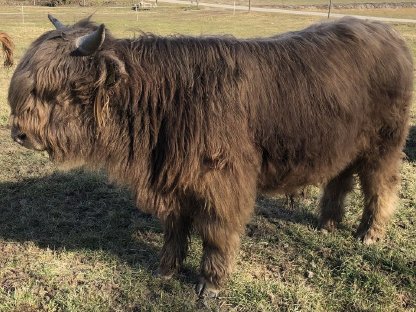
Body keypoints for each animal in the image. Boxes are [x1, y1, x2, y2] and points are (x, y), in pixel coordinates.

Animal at [6, 15, 412, 298]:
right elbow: (175, 228)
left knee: (381, 186)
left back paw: (369, 234)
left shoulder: (221, 183)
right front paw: (166, 269)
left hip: (384, 145)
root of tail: (388, 32)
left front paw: (211, 282)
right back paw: (328, 222)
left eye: (56, 89)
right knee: (340, 179)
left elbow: (216, 232)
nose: (19, 133)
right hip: (342, 144)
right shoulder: (173, 180)